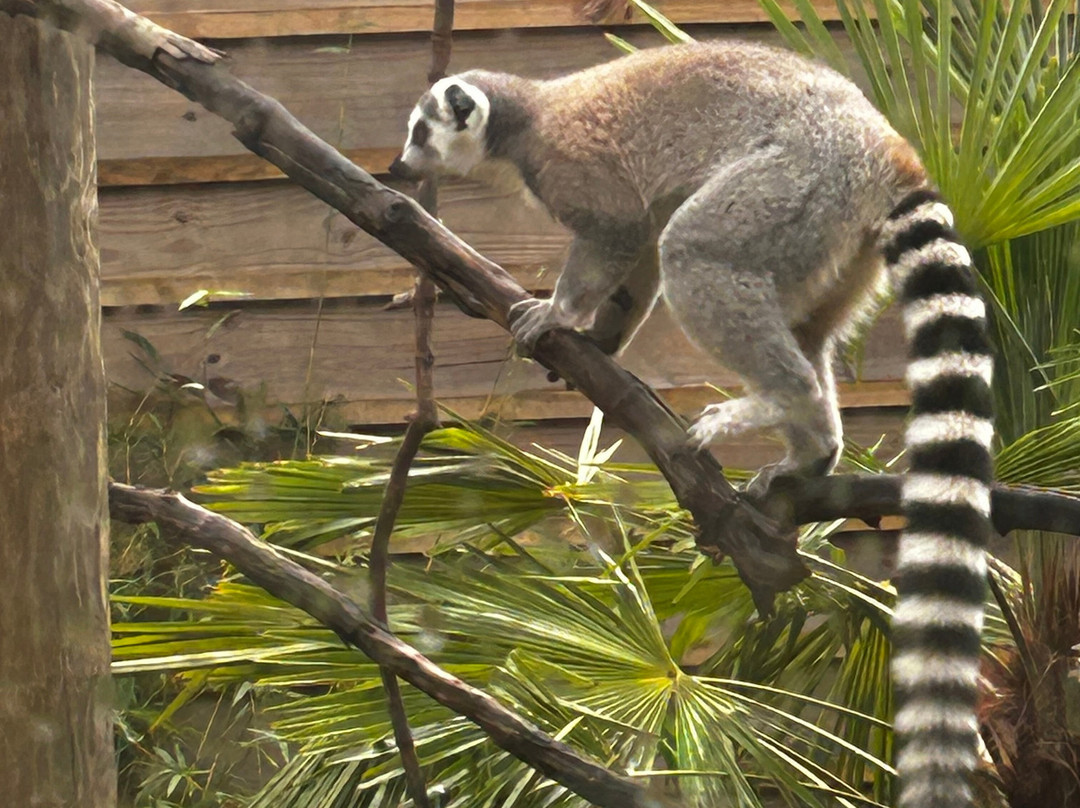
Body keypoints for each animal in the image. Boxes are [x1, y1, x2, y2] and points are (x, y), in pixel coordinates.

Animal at [390, 40, 995, 808]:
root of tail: (883, 142)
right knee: (805, 326)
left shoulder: (575, 169)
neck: (524, 118)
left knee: (695, 249)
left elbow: (624, 232)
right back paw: (813, 445)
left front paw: (559, 313)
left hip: (795, 188)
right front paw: (601, 338)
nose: (398, 167)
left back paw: (775, 399)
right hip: (838, 242)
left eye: (421, 129)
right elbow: (639, 254)